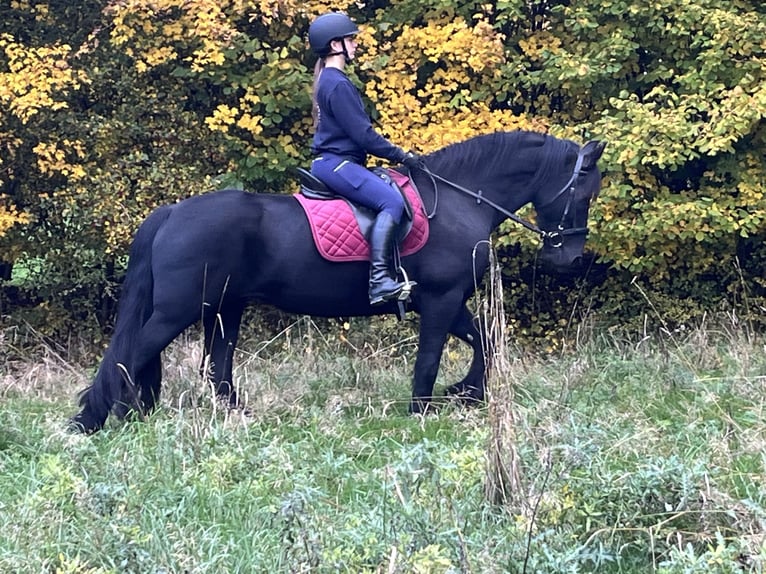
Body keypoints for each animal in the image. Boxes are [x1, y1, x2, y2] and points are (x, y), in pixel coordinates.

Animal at [70, 130, 606, 433]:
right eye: (584, 189)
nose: (568, 257)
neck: (461, 201)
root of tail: (173, 212)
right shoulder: (441, 299)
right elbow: (432, 358)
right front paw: (422, 410)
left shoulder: (450, 301)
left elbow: (487, 343)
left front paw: (465, 392)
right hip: (181, 309)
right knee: (134, 353)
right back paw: (105, 417)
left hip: (225, 307)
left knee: (216, 370)